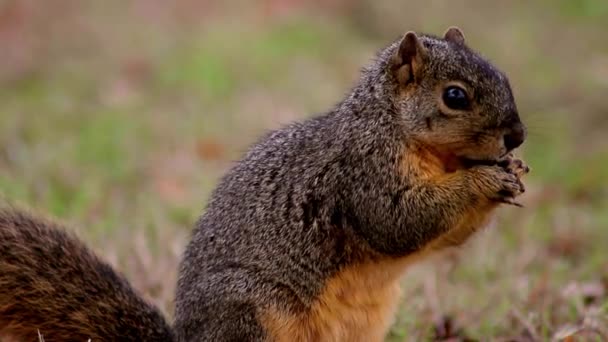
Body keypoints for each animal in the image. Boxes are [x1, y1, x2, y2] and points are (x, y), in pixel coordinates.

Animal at [0, 27, 528, 342]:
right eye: (455, 96)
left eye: (503, 73)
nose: (518, 136)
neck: (392, 125)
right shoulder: (363, 174)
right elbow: (398, 222)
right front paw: (484, 178)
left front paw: (513, 173)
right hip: (254, 312)